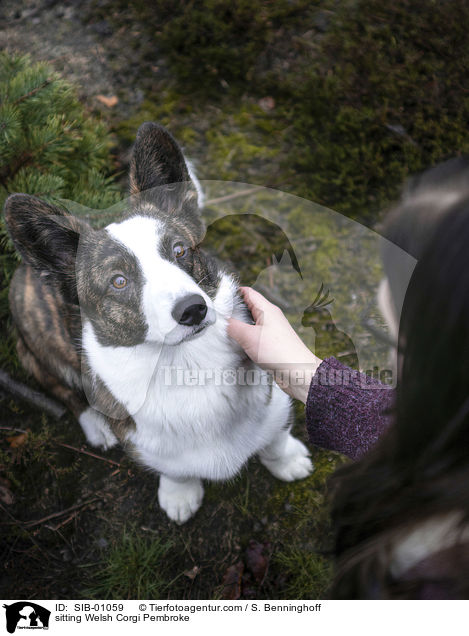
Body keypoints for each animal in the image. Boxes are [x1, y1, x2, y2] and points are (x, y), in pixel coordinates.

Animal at [3, 123, 312, 520]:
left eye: (179, 250)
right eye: (119, 281)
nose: (192, 309)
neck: (185, 362)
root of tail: (25, 271)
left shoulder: (272, 397)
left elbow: (275, 436)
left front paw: (287, 461)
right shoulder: (147, 441)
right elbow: (174, 468)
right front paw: (180, 495)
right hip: (39, 342)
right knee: (63, 389)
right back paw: (96, 425)